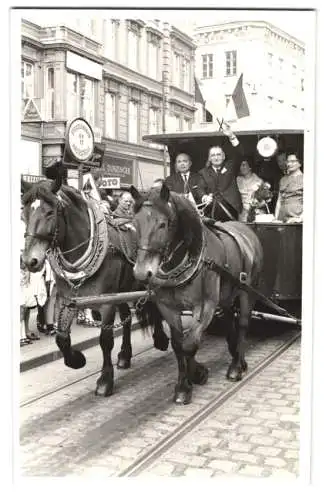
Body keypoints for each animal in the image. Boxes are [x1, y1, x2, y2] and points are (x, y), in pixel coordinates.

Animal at [20, 178, 169, 396]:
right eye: (24, 213)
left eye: (49, 213)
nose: (29, 261)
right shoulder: (68, 299)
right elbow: (61, 337)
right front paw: (76, 360)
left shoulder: (105, 302)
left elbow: (105, 340)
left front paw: (105, 381)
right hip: (122, 291)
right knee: (126, 318)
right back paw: (125, 355)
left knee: (156, 306)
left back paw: (160, 339)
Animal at [131, 186, 264, 404]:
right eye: (135, 224)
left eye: (163, 224)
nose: (142, 272)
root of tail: (246, 230)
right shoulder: (168, 308)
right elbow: (179, 345)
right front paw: (186, 382)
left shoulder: (205, 305)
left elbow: (190, 344)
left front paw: (193, 377)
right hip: (227, 294)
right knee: (230, 319)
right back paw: (235, 353)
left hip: (247, 291)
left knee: (243, 323)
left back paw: (237, 366)